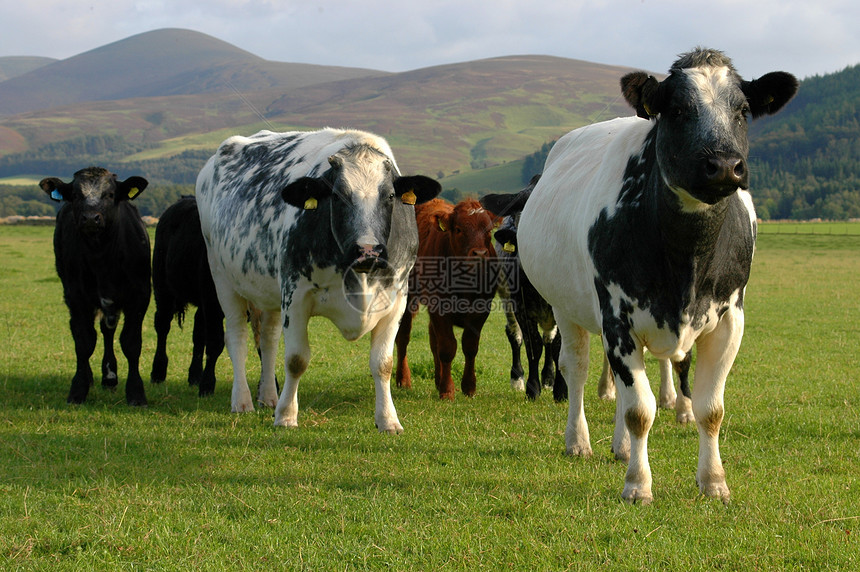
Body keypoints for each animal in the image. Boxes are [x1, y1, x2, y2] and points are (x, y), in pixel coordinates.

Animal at [41, 166, 153, 406]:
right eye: (75, 195)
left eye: (109, 194)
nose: (91, 218)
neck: (101, 255)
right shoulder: (76, 296)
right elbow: (84, 341)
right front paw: (78, 389)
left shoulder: (139, 295)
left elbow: (131, 342)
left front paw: (136, 393)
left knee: (108, 330)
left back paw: (110, 377)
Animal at [394, 199, 500, 400]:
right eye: (459, 229)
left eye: (489, 230)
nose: (480, 254)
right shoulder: (439, 308)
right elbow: (447, 347)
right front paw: (447, 390)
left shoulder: (481, 311)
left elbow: (470, 346)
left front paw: (469, 386)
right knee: (403, 337)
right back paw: (403, 379)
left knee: (432, 340)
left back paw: (437, 378)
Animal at [510, 50, 800, 504]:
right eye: (677, 110)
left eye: (743, 110)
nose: (724, 166)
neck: (688, 258)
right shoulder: (617, 319)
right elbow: (638, 410)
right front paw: (637, 484)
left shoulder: (730, 319)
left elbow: (710, 409)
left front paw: (713, 481)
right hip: (565, 308)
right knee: (575, 368)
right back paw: (579, 441)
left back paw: (621, 447)